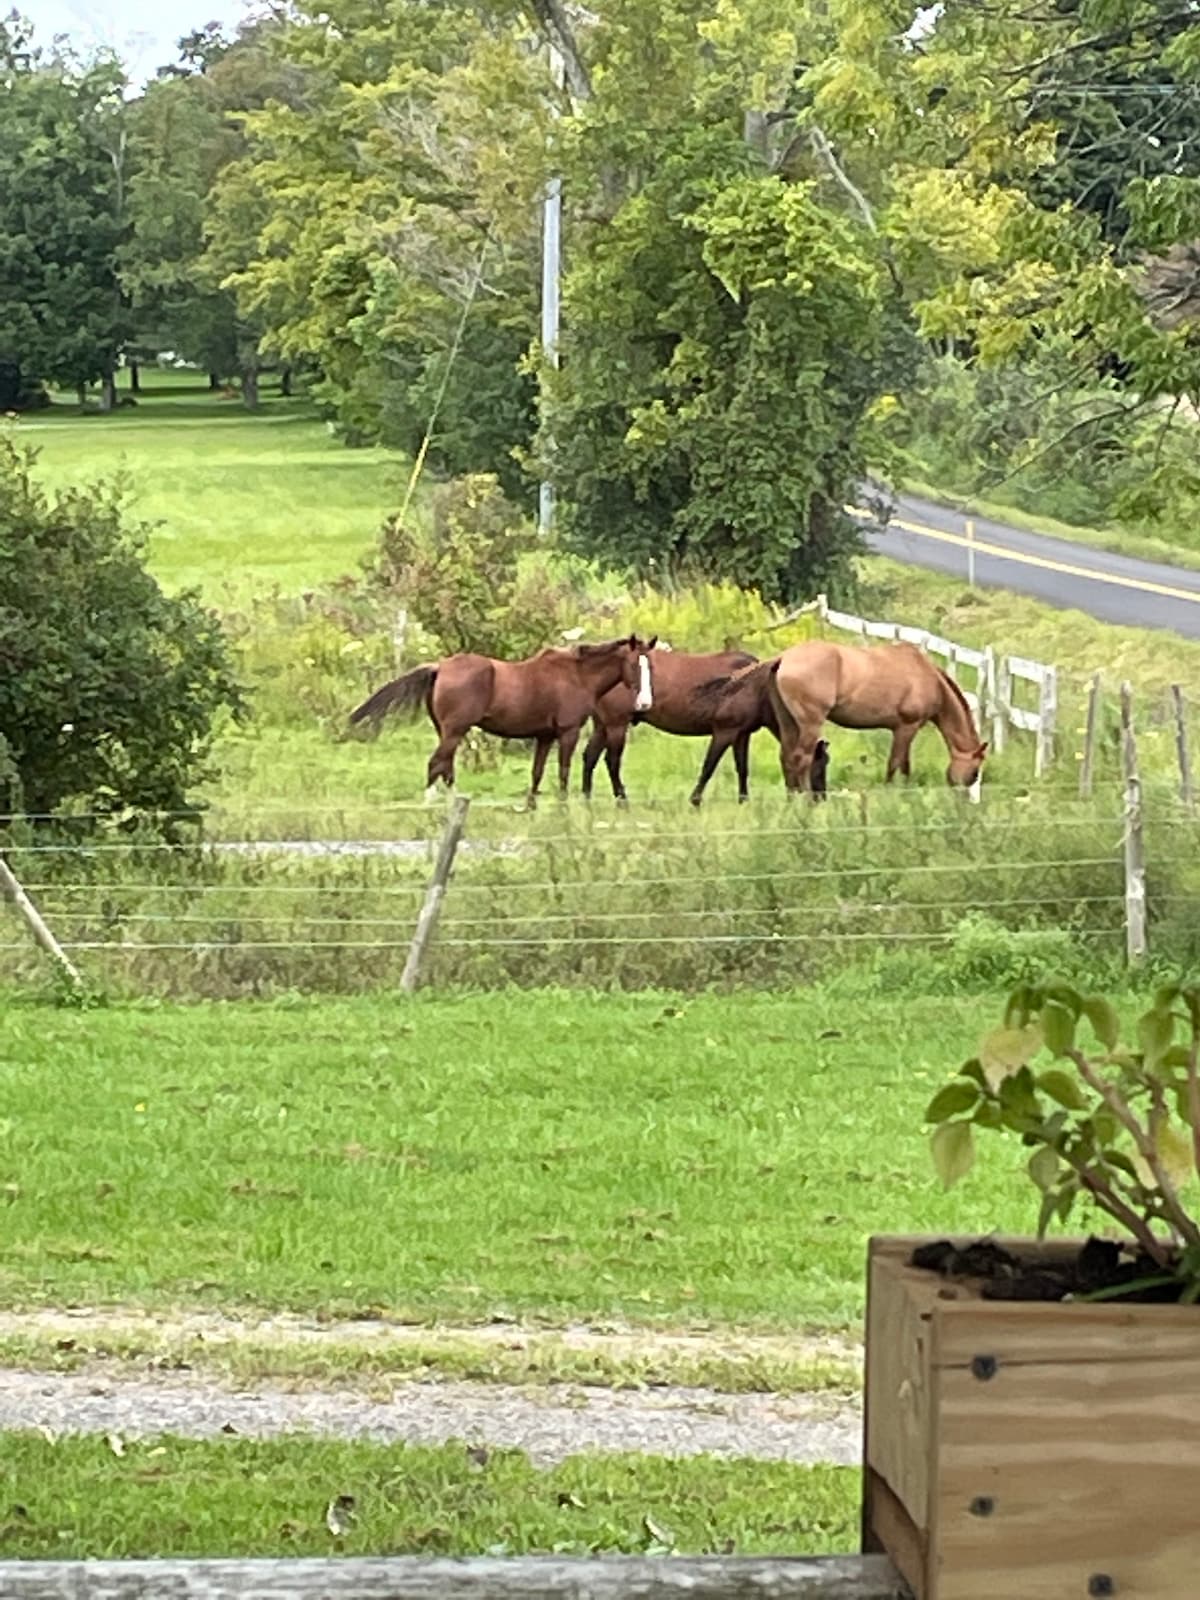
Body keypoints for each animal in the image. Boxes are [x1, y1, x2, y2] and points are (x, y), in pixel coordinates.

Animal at [347, 636, 659, 806]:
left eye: (650, 665)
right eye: (634, 665)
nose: (644, 703)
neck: (577, 675)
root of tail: (440, 667)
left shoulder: (545, 736)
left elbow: (536, 773)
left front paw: (531, 808)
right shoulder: (567, 732)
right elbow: (563, 772)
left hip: (447, 732)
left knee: (446, 768)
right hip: (454, 731)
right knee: (436, 765)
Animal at [704, 633, 985, 790]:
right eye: (975, 772)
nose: (964, 797)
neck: (925, 675)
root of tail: (783, 659)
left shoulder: (902, 730)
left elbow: (902, 764)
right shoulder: (907, 727)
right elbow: (897, 764)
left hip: (788, 723)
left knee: (786, 758)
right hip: (810, 723)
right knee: (801, 758)